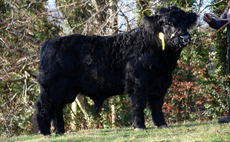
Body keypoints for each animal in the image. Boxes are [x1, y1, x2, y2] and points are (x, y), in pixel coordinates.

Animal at [33, 6, 197, 135]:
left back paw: (60, 132)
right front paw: (139, 126)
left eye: (185, 22)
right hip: (51, 87)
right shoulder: (137, 83)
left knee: (56, 109)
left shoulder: (159, 85)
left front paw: (162, 124)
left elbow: (157, 106)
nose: (184, 37)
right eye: (167, 23)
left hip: (64, 90)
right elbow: (138, 104)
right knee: (43, 107)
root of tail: (49, 43)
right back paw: (45, 133)